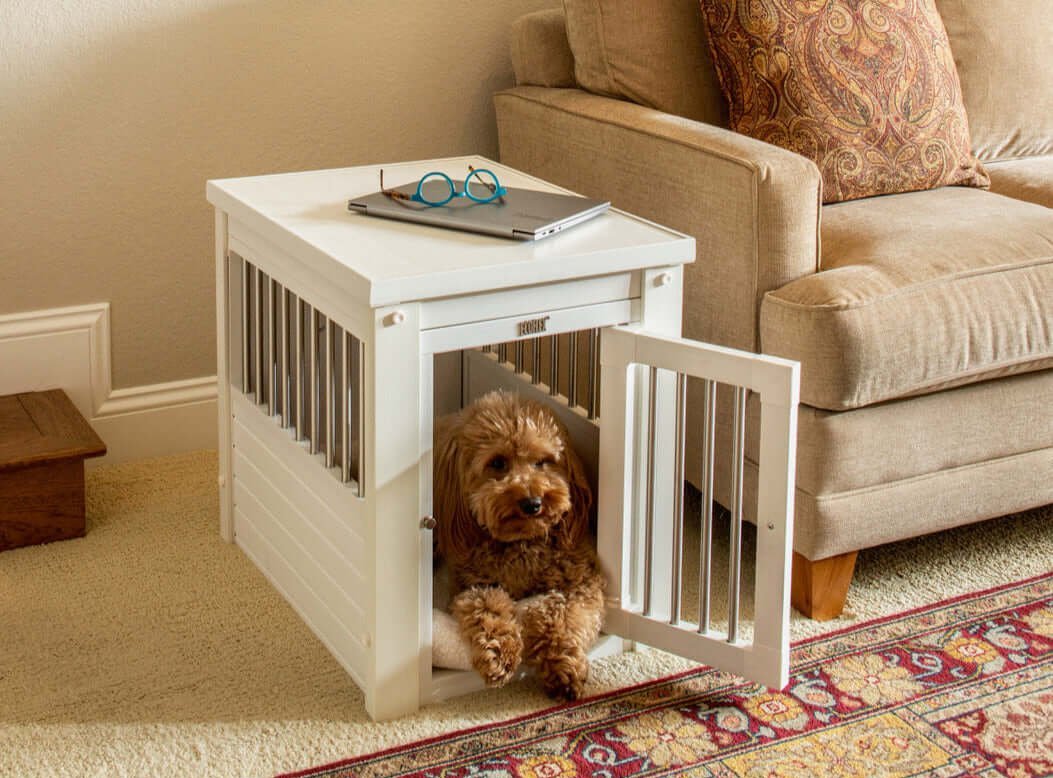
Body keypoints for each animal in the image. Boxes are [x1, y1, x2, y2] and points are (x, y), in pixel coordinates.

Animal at [431, 389, 606, 699]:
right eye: (498, 463)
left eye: (543, 461)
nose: (532, 503)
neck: (521, 543)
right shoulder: (472, 585)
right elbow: (487, 608)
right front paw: (499, 654)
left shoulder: (581, 583)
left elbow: (557, 614)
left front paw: (562, 666)